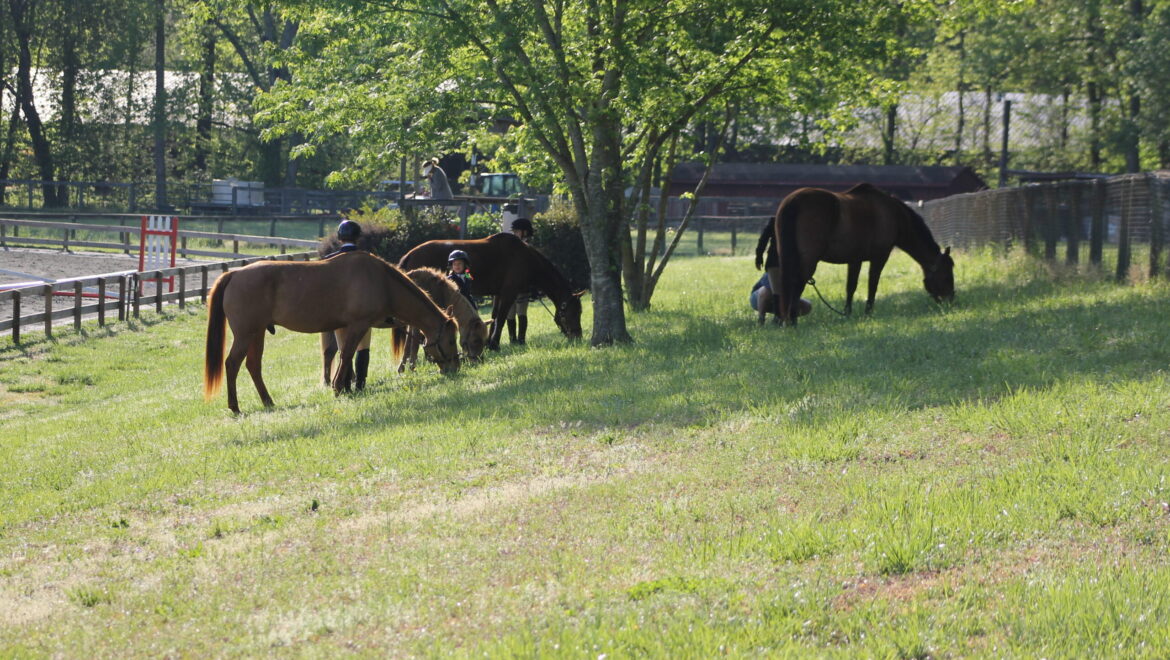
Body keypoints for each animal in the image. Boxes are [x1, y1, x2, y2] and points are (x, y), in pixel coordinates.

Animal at [203, 252, 458, 411]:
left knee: (253, 366)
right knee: (232, 364)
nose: (456, 367)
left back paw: (268, 402)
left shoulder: (344, 327)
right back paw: (235, 407)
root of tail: (234, 274)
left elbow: (347, 357)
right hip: (246, 334)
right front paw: (338, 388)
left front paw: (344, 386)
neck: (382, 281)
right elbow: (346, 355)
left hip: (257, 334)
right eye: (451, 341)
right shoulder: (358, 325)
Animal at [400, 231, 585, 351]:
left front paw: (488, 342)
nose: (578, 337)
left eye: (580, 312)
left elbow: (495, 317)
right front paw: (494, 344)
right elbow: (501, 319)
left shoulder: (498, 294)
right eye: (572, 313)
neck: (524, 257)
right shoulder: (509, 293)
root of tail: (409, 254)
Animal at [758, 184, 959, 322]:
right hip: (808, 260)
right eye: (947, 275)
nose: (951, 300)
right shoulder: (880, 257)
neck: (893, 214)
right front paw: (868, 313)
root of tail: (793, 201)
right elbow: (872, 285)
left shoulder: (854, 259)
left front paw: (847, 314)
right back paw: (791, 320)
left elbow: (851, 287)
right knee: (796, 284)